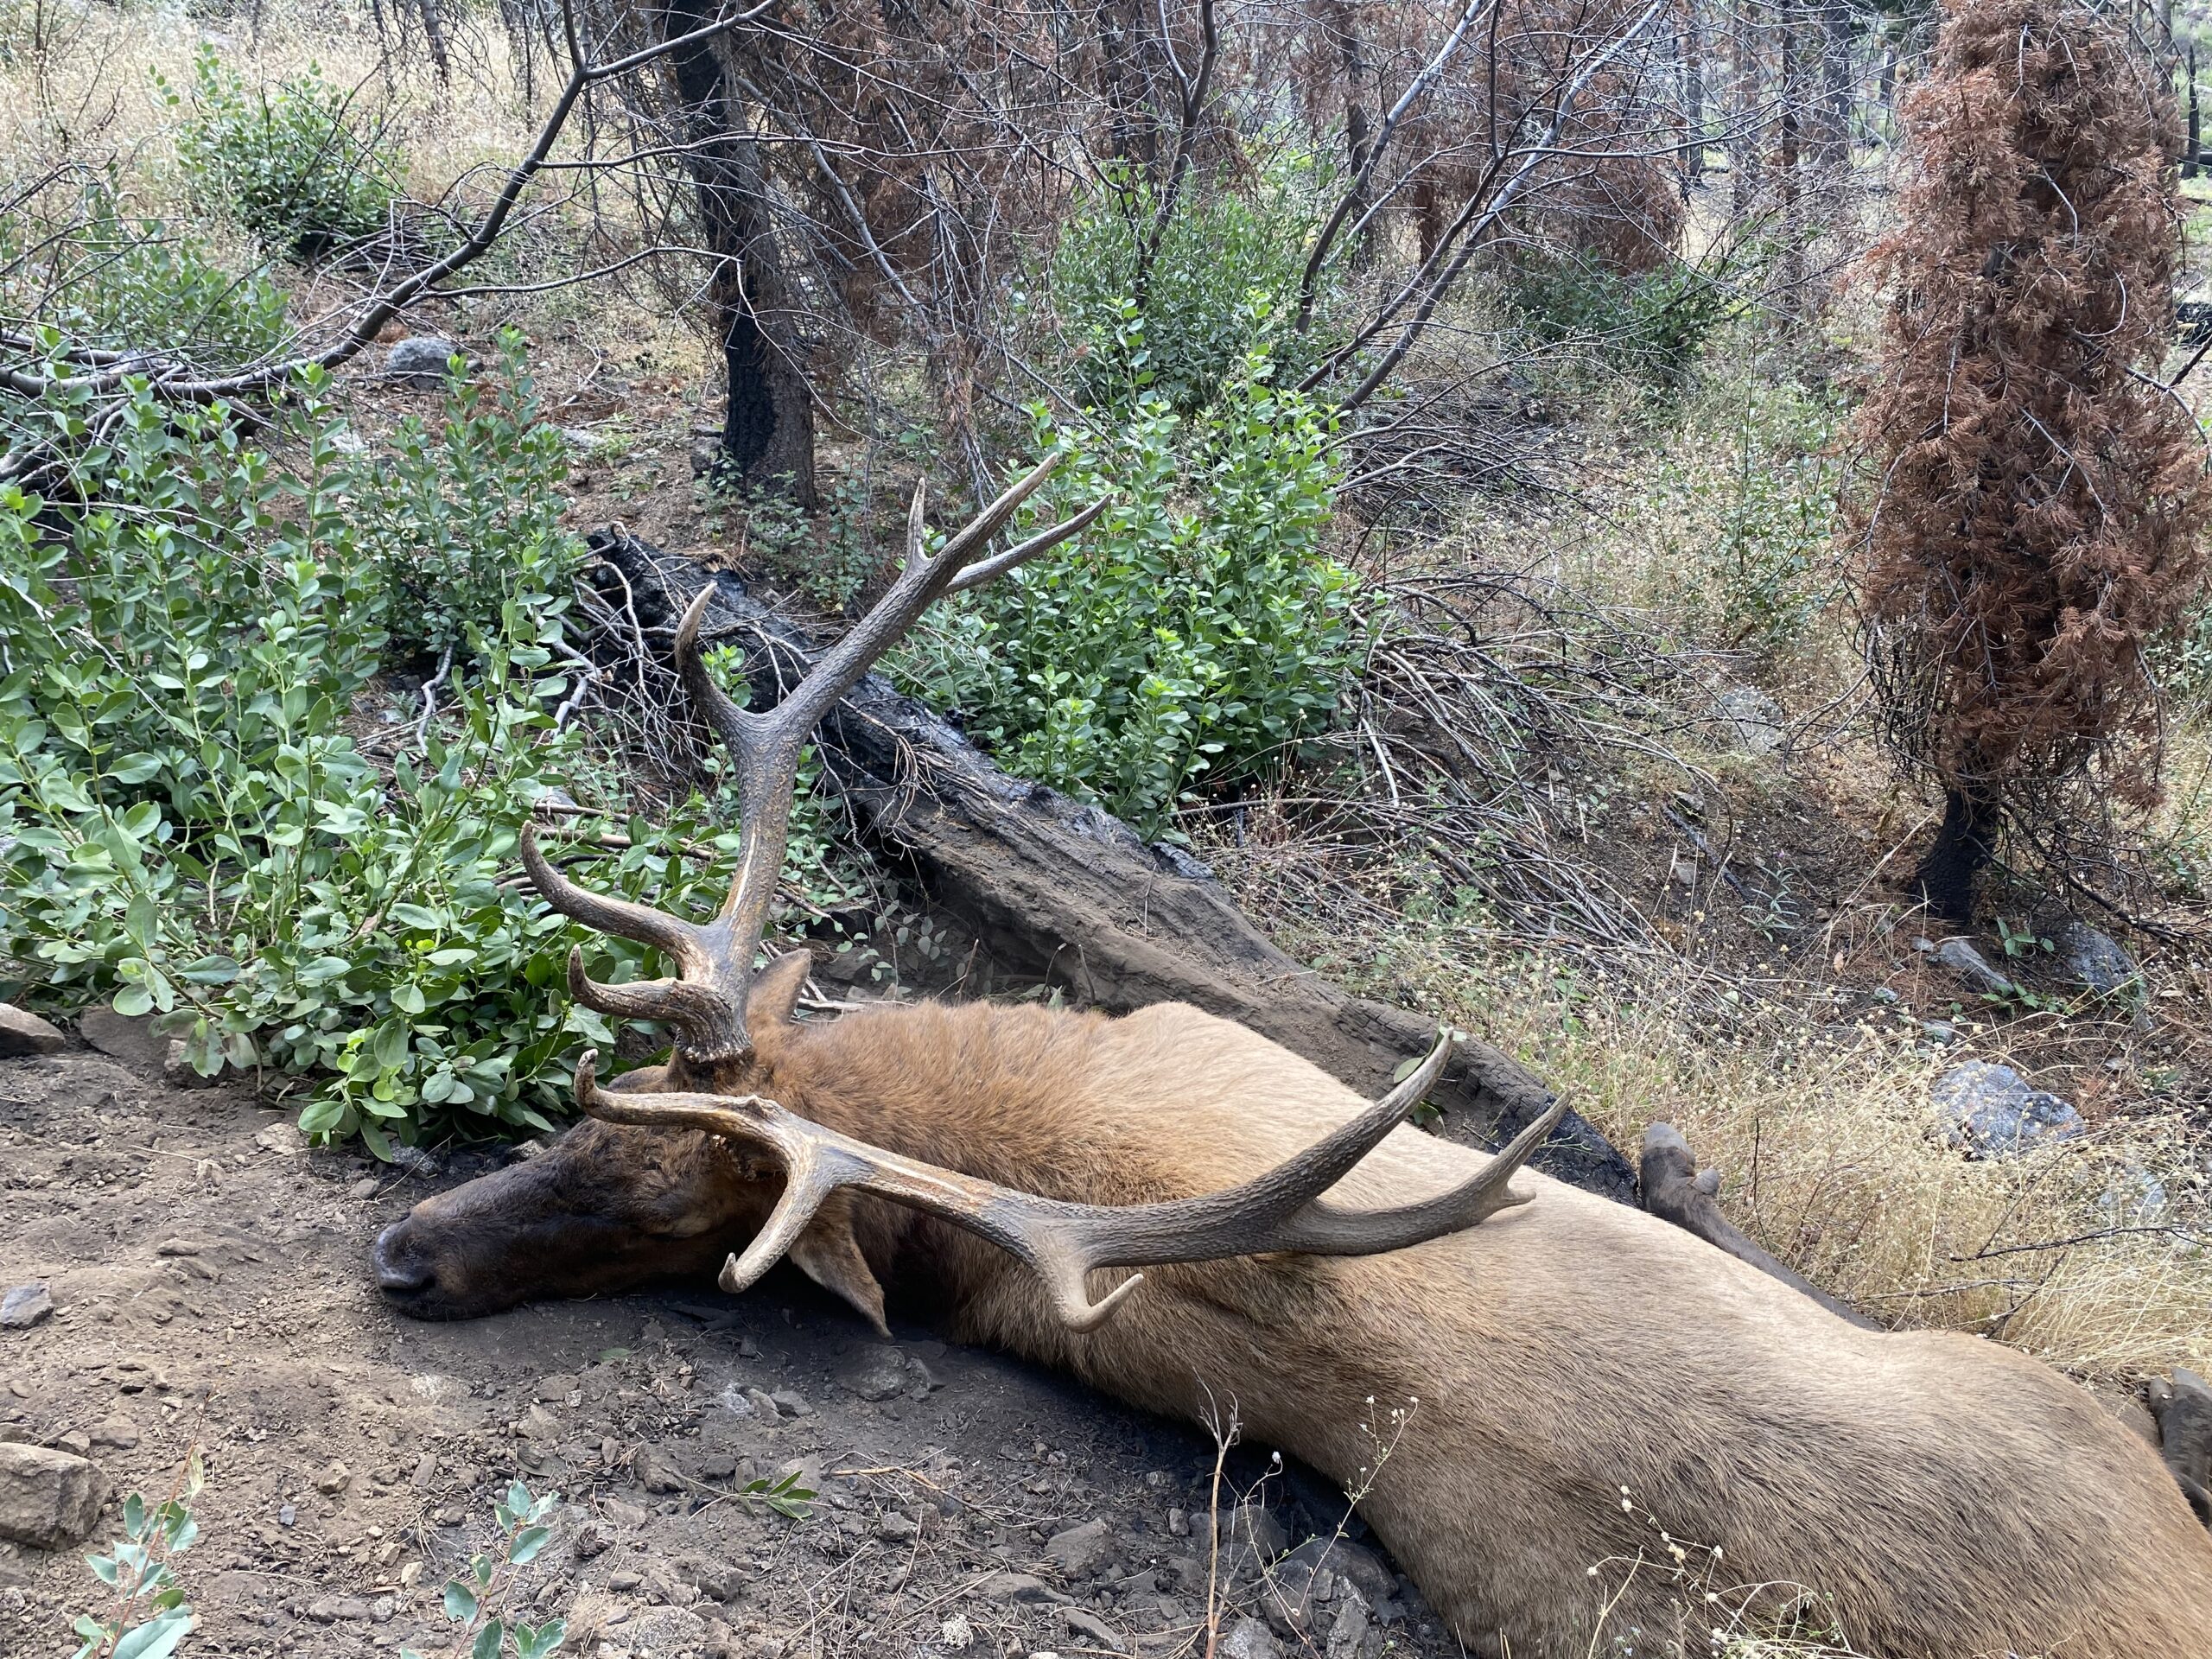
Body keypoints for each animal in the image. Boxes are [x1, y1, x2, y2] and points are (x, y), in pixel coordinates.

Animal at [372, 459, 2212, 1659]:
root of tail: (2157, 1598)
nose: (400, 1252)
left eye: (668, 1198)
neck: (989, 1118)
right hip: (2030, 1391)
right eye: (581, 1129)